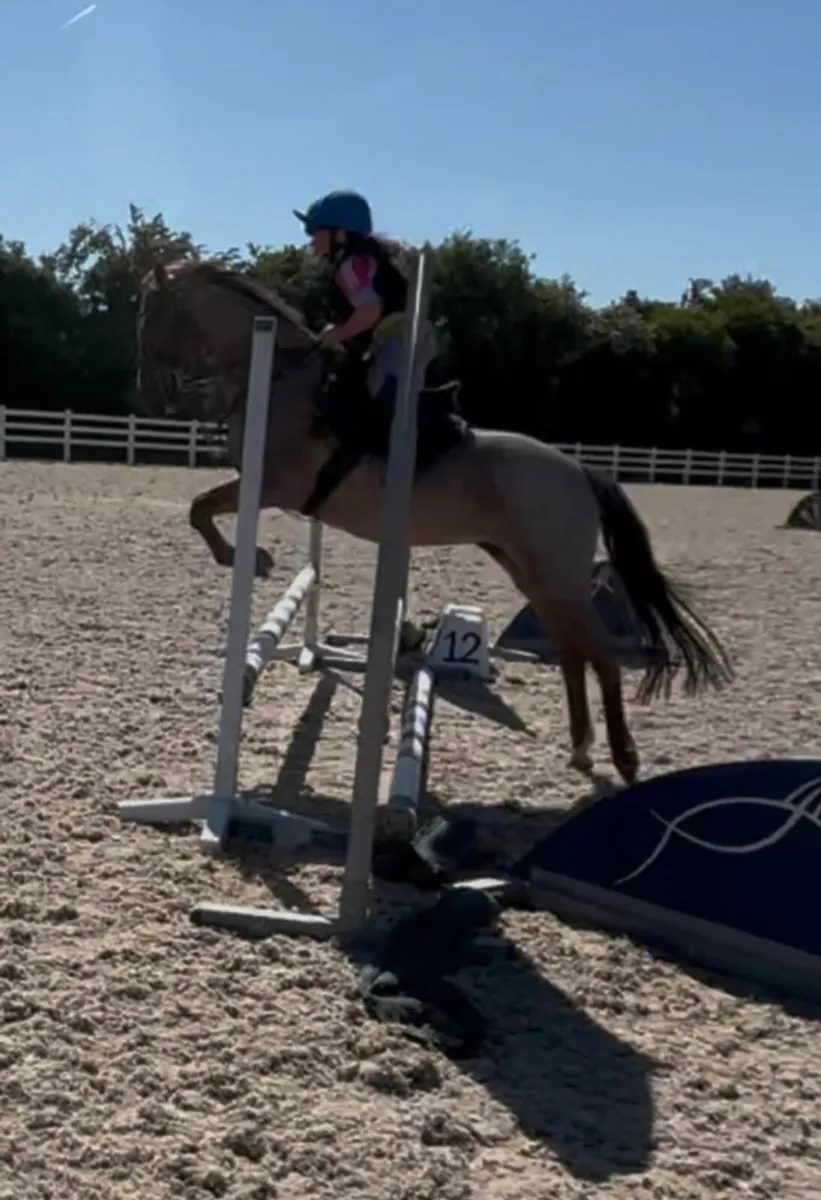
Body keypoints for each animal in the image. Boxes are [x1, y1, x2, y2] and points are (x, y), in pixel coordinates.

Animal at [136, 257, 734, 784]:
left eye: (152, 311)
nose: (155, 388)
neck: (280, 378)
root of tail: (580, 470)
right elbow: (200, 508)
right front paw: (247, 557)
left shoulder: (271, 487)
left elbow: (201, 508)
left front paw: (248, 558)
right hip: (531, 573)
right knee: (571, 652)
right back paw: (583, 749)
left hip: (557, 573)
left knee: (602, 656)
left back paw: (624, 758)